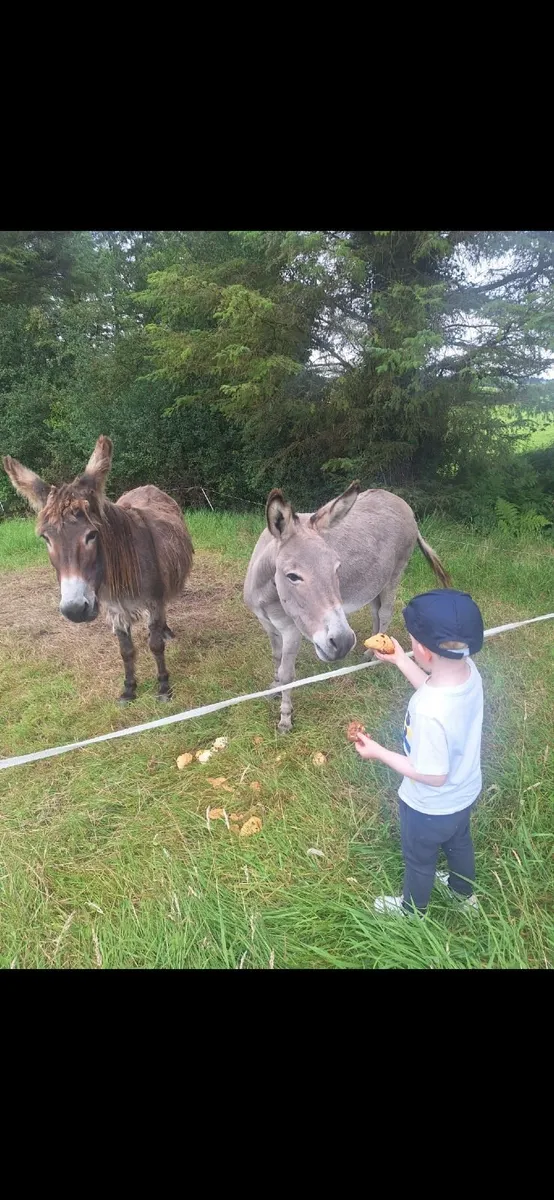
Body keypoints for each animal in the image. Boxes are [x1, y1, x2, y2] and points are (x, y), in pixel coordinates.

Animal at [2, 436, 194, 703]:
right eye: (46, 539)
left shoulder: (154, 601)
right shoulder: (114, 608)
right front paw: (129, 689)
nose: (75, 611)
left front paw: (164, 687)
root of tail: (147, 486)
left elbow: (155, 645)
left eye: (92, 535)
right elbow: (126, 650)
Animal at [243, 481, 451, 731]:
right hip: (375, 582)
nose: (342, 643)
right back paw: (369, 650)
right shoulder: (268, 623)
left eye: (337, 568)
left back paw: (373, 655)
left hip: (395, 574)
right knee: (375, 613)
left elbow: (287, 673)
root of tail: (402, 503)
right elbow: (276, 658)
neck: (268, 593)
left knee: (385, 613)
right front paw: (274, 688)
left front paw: (285, 717)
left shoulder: (292, 629)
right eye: (292, 576)